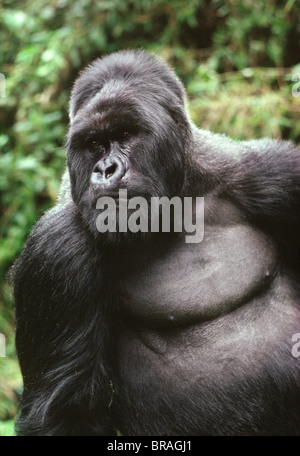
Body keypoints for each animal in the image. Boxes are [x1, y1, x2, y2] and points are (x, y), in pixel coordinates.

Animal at [11, 49, 300, 434]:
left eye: (126, 134)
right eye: (93, 145)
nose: (105, 170)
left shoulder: (273, 174)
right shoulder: (57, 247)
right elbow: (66, 412)